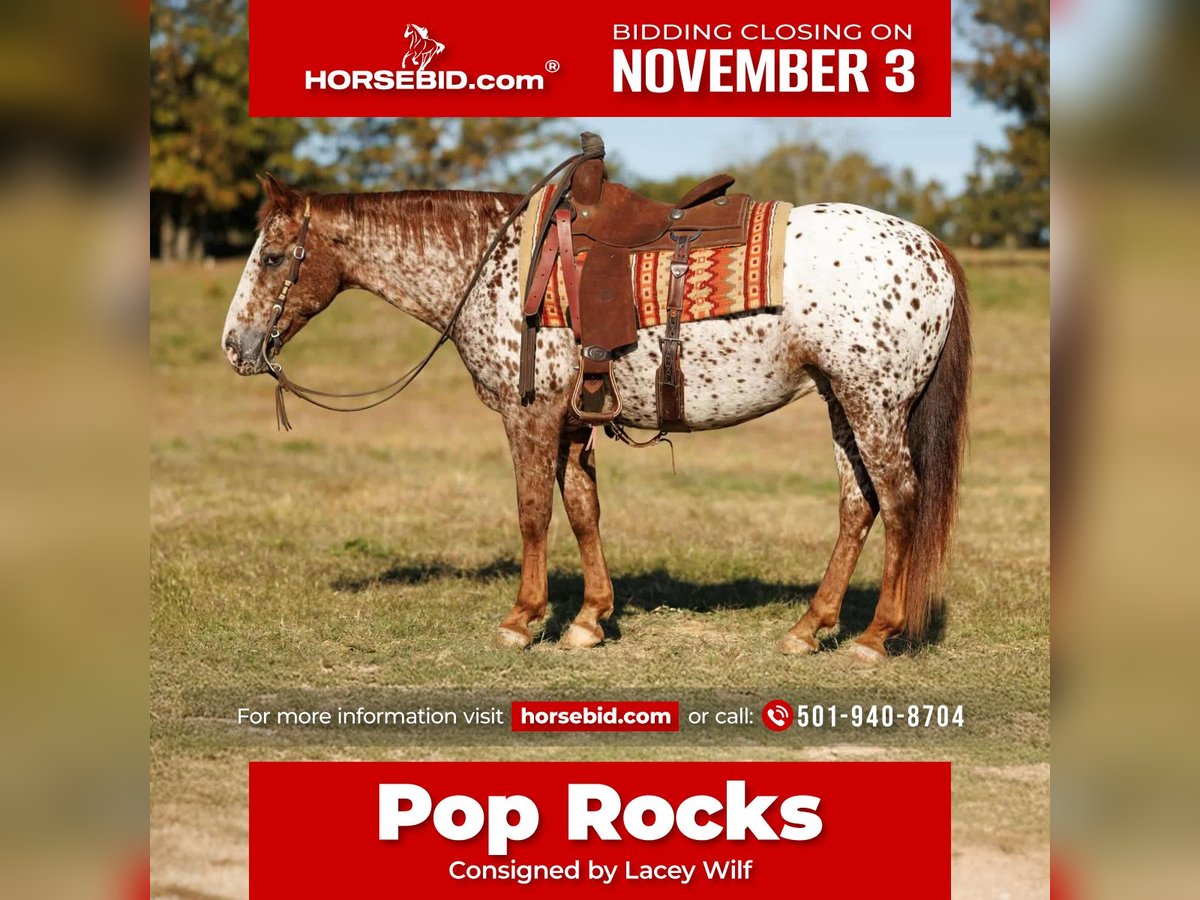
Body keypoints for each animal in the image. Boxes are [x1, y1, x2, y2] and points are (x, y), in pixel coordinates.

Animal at [222, 174, 970, 661]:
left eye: (274, 255)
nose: (235, 345)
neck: (495, 267)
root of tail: (932, 248)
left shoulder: (529, 416)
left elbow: (532, 512)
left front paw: (523, 620)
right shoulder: (571, 423)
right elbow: (583, 510)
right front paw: (589, 619)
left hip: (875, 403)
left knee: (900, 501)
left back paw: (875, 636)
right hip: (841, 402)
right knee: (858, 505)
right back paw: (809, 627)